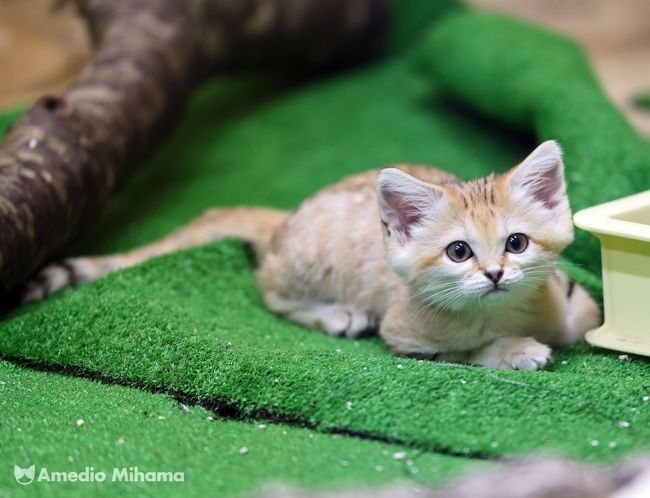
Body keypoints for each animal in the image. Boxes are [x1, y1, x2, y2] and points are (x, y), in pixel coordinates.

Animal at [21, 140, 596, 370]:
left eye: (516, 243)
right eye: (459, 252)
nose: (496, 272)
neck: (506, 310)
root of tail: (285, 218)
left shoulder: (564, 296)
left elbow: (582, 314)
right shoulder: (406, 337)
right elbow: (465, 352)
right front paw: (513, 350)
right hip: (301, 269)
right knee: (271, 291)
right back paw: (334, 313)